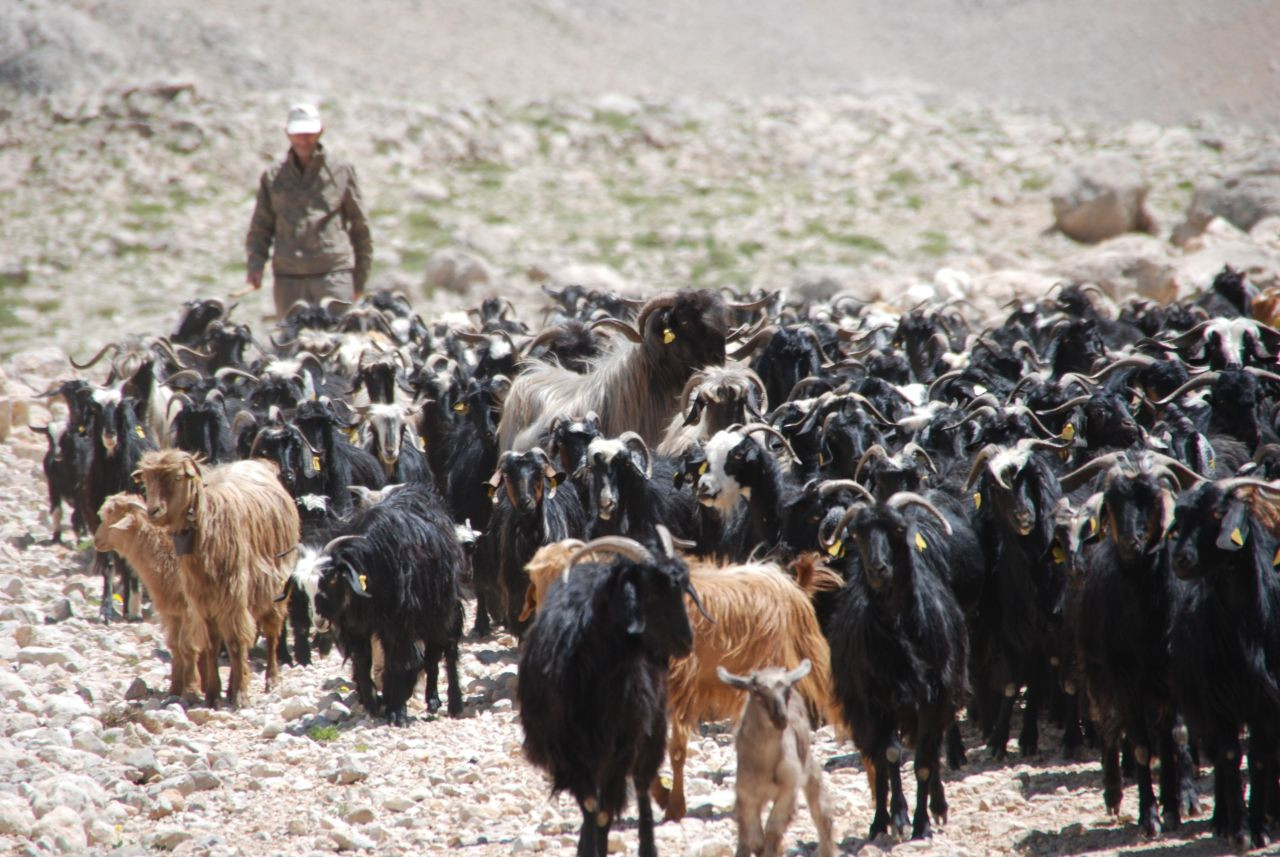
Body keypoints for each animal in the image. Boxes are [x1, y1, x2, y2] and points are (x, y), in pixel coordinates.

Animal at [93, 493, 207, 700]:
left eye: (113, 518)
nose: (96, 540)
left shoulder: (189, 610)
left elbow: (187, 647)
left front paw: (192, 690)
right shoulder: (172, 611)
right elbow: (175, 646)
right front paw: (175, 689)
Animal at [135, 450, 299, 711]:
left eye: (178, 477)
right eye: (147, 481)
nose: (154, 512)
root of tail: (261, 463)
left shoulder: (233, 596)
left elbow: (235, 643)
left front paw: (241, 695)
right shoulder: (204, 603)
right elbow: (212, 644)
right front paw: (214, 694)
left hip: (275, 585)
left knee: (272, 632)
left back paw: (271, 679)